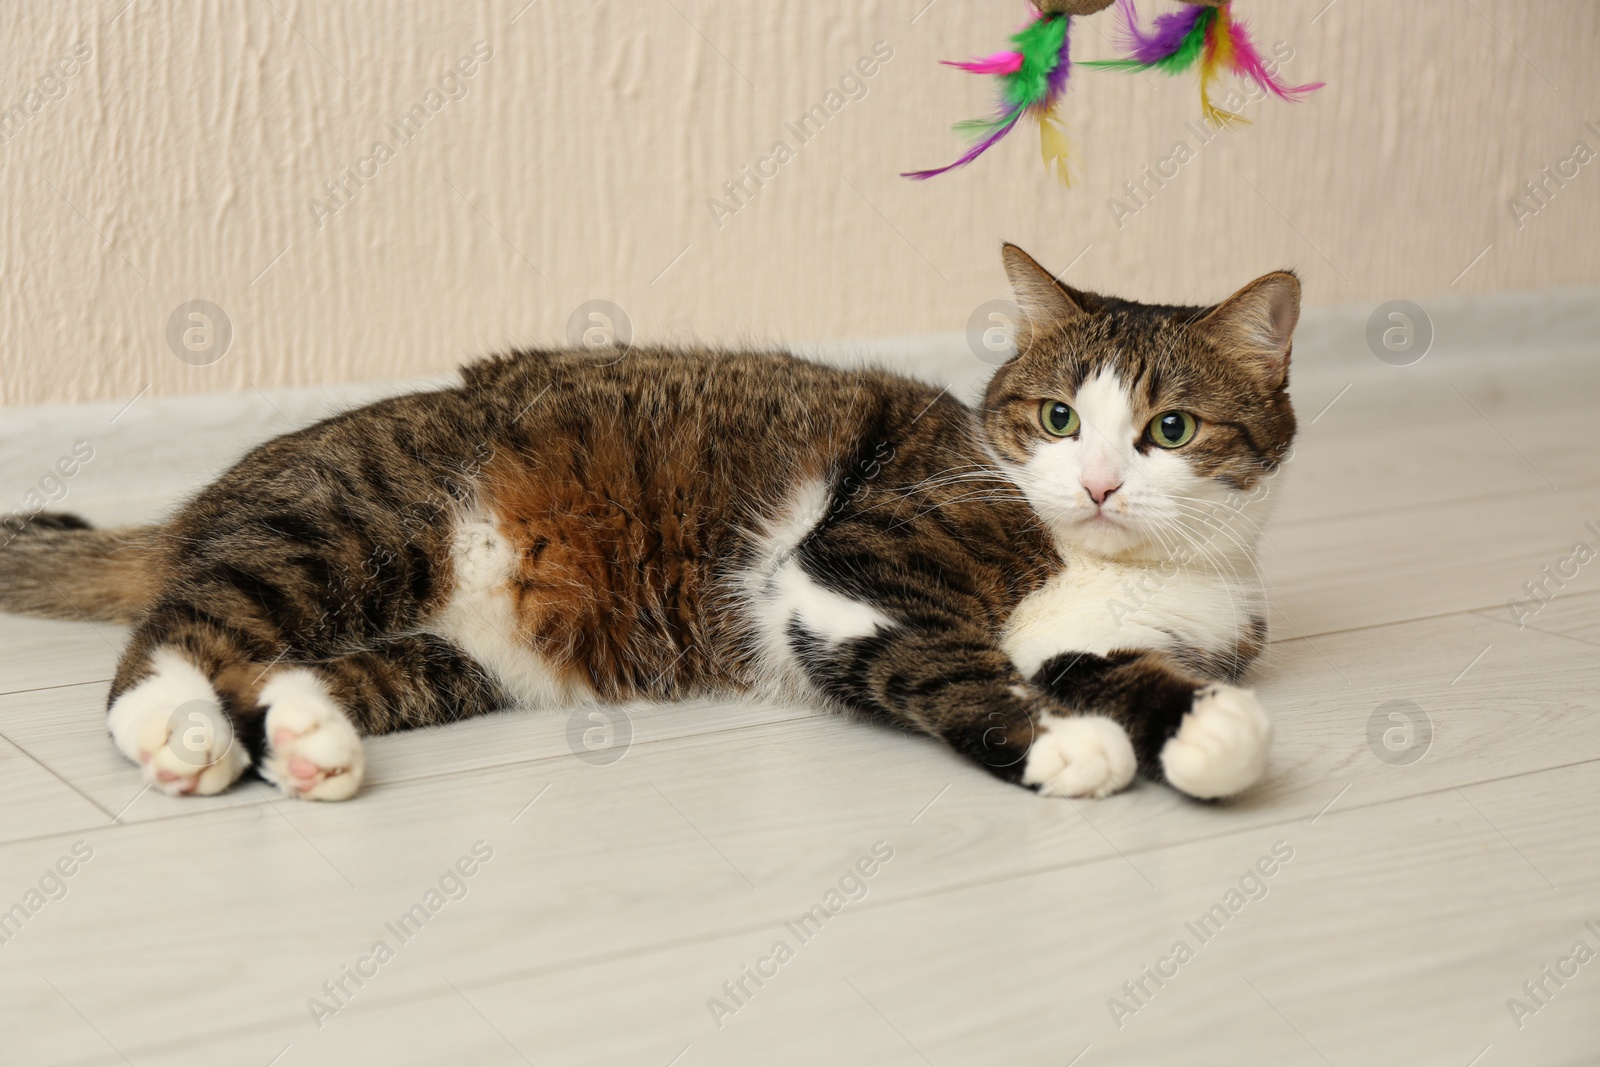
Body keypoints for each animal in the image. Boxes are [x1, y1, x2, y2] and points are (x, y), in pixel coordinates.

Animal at [0, 244, 1299, 799]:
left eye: (1171, 427)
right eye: (1057, 416)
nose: (1100, 485)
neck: (1110, 562)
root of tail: (202, 501)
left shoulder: (1110, 634)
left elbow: (1128, 671)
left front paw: (1208, 735)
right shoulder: (845, 572)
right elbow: (947, 666)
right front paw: (1066, 746)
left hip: (459, 659)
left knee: (292, 673)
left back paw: (308, 739)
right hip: (351, 529)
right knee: (172, 640)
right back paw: (179, 732)